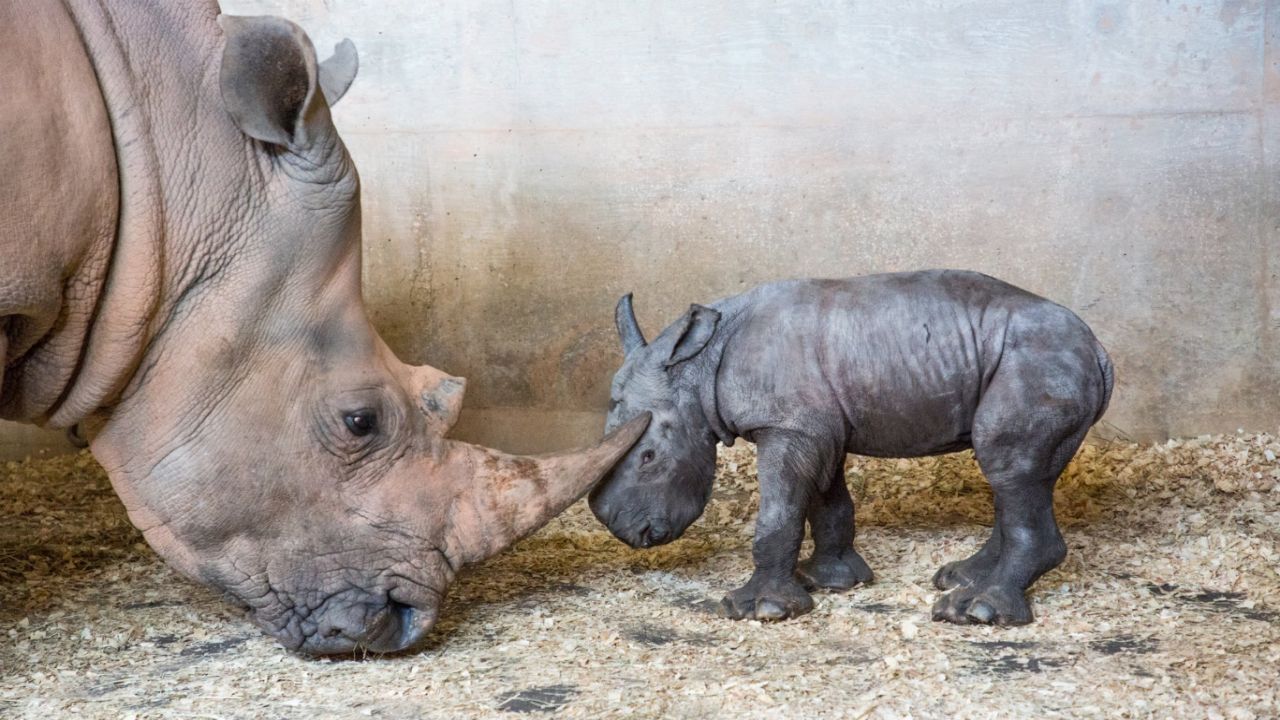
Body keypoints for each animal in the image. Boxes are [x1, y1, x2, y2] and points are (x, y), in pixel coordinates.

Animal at [588, 269, 1111, 622]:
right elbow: (826, 501)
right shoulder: (816, 427)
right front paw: (829, 580)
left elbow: (778, 514)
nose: (626, 531)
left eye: (649, 458)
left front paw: (762, 609)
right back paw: (964, 579)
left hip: (1039, 362)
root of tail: (1099, 350)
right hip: (1046, 362)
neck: (698, 367)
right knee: (1021, 476)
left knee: (1009, 465)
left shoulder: (788, 426)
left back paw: (976, 610)